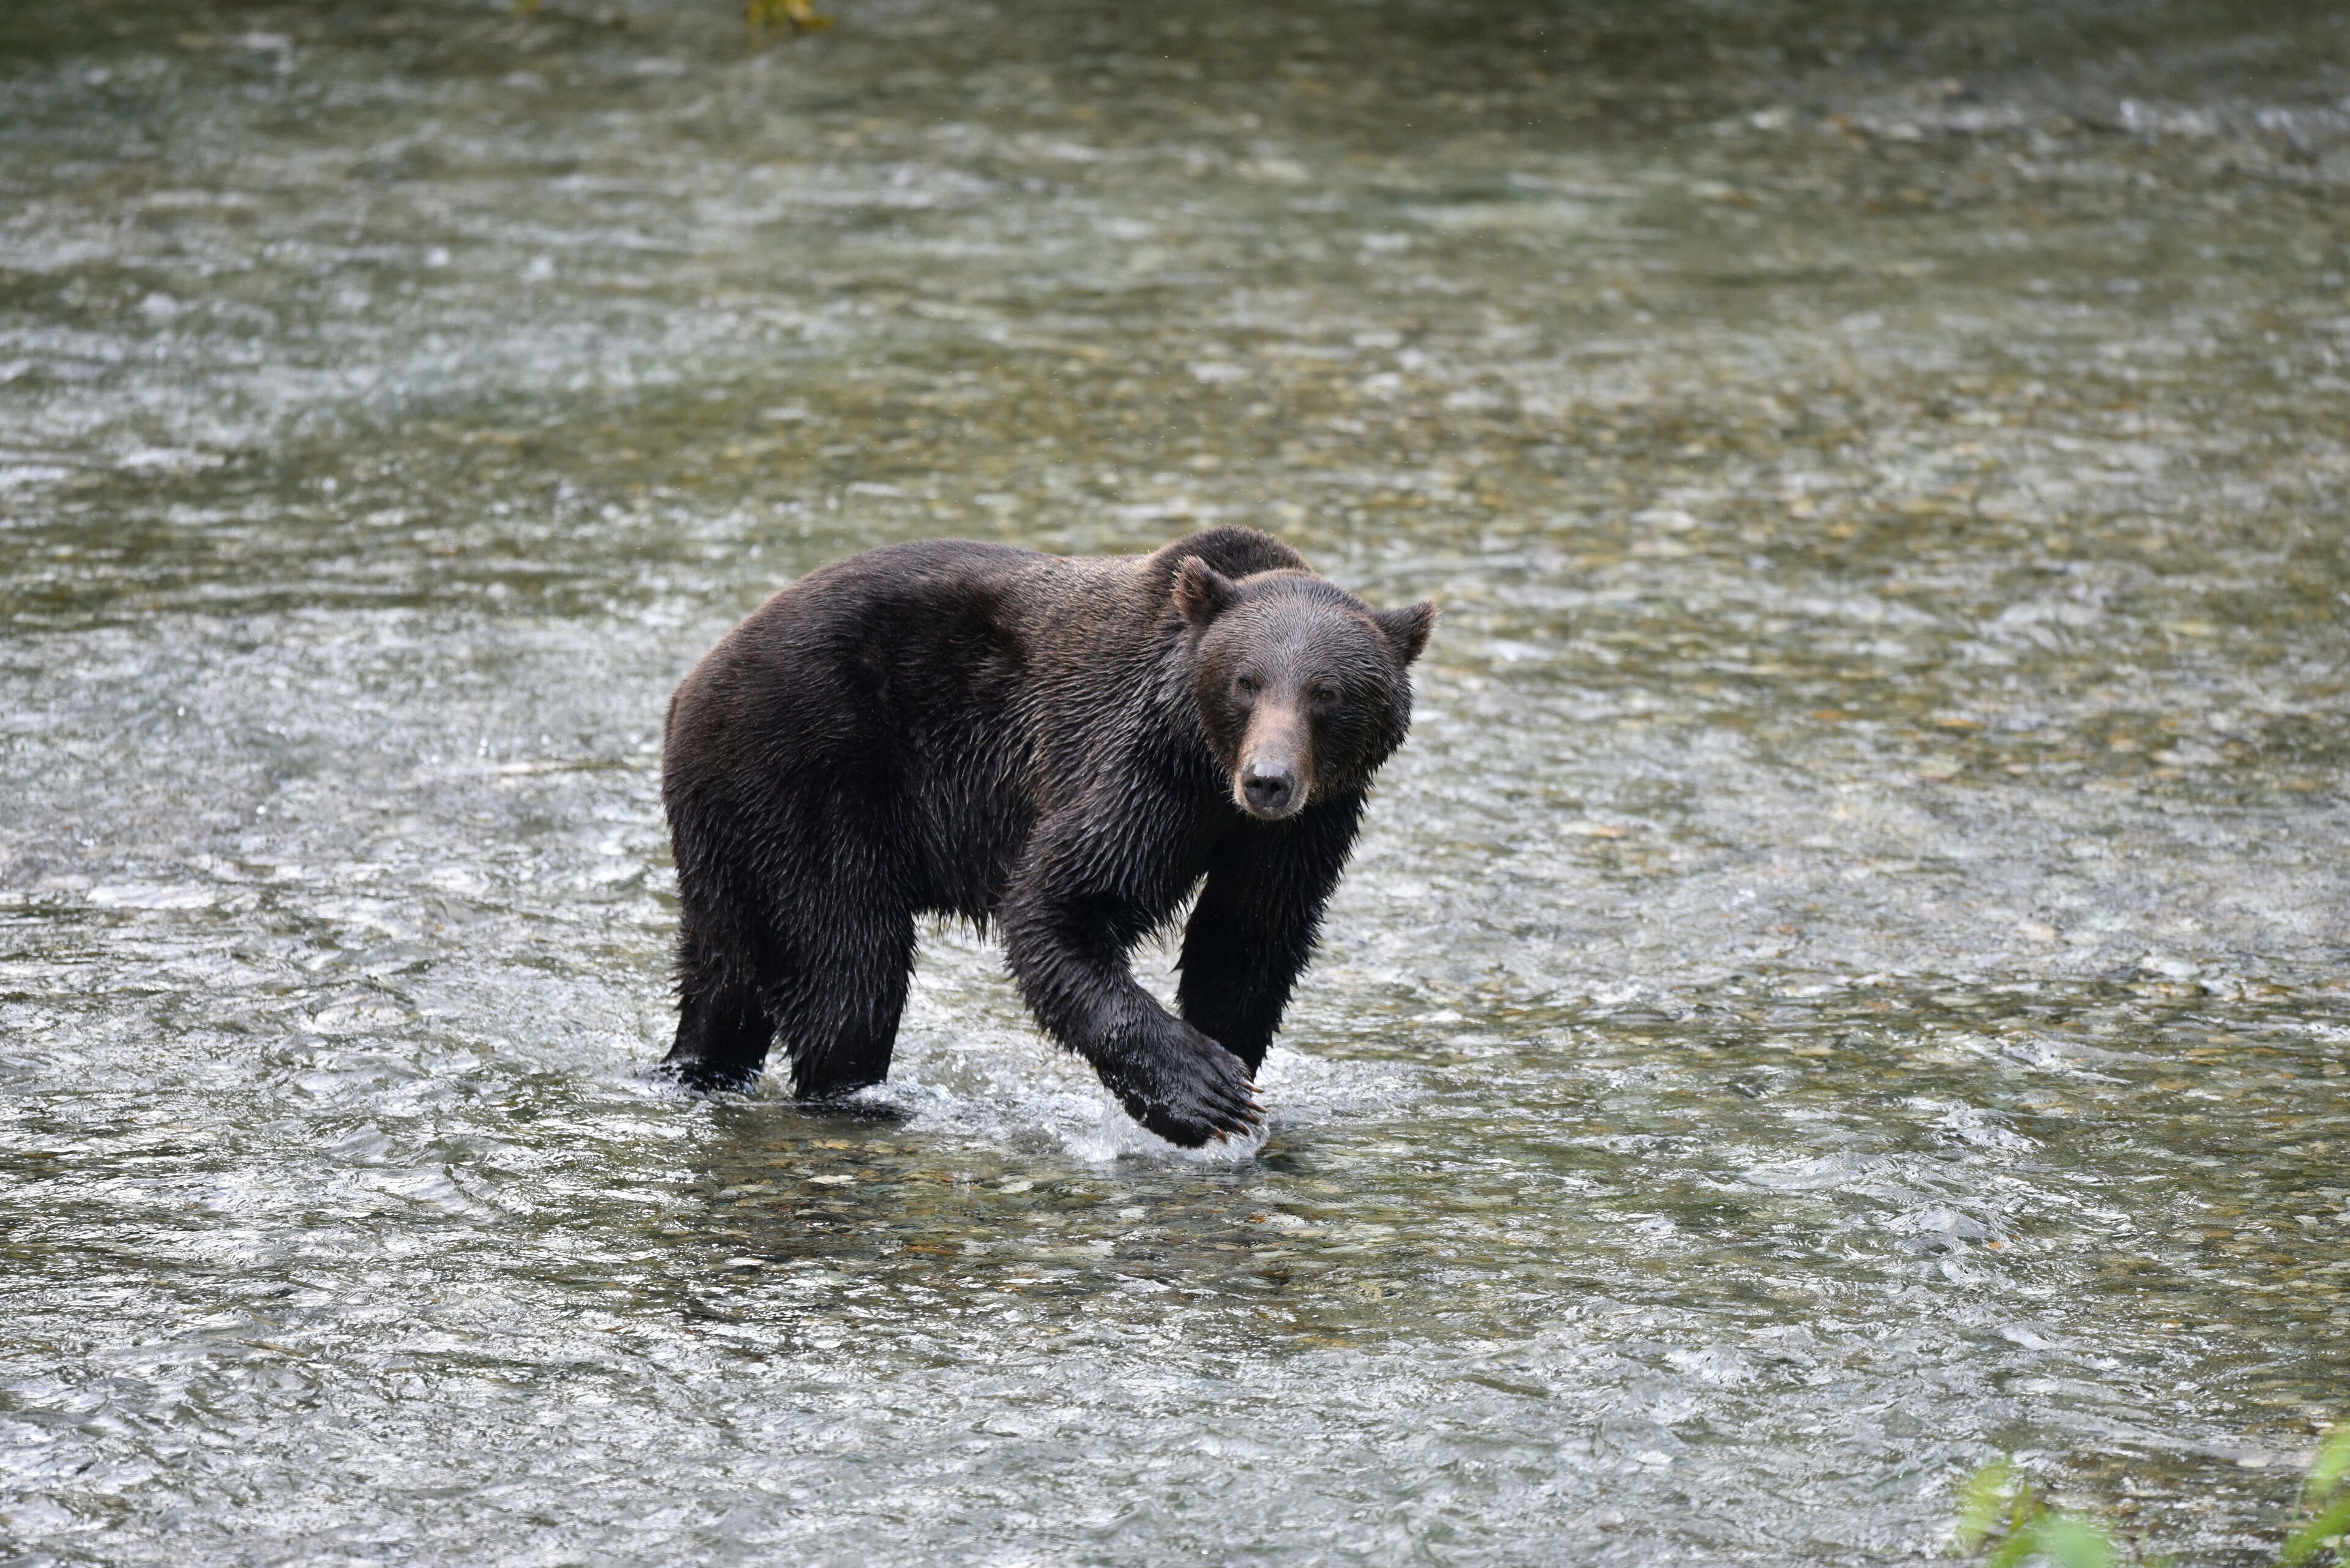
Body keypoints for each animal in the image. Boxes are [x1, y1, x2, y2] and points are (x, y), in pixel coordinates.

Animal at [658, 526, 1433, 1147]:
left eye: (1327, 693)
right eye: (1247, 681)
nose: (1268, 781)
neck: (1207, 765)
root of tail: (691, 685)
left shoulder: (1307, 825)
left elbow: (1249, 938)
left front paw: (1231, 1075)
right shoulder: (1134, 767)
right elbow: (1062, 904)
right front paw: (1200, 1092)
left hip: (731, 836)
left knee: (727, 974)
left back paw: (698, 1068)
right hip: (805, 782)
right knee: (846, 970)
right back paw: (862, 1098)